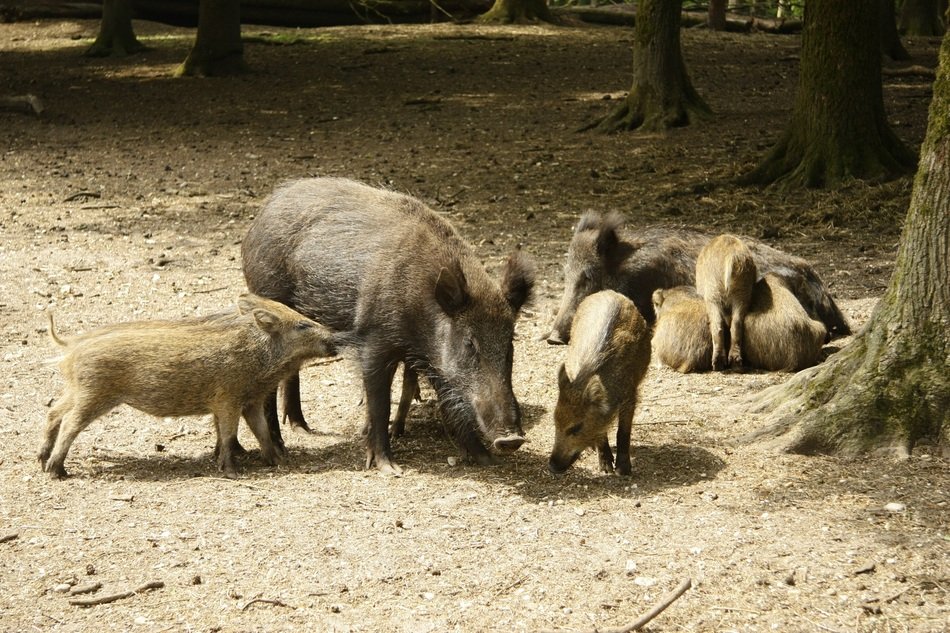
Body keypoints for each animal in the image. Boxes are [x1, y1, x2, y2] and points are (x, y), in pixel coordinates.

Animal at [40, 294, 337, 479]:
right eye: (302, 325)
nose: (336, 339)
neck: (258, 355)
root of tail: (72, 347)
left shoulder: (250, 401)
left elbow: (260, 432)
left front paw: (278, 462)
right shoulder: (227, 400)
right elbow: (229, 435)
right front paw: (232, 472)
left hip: (77, 391)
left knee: (53, 411)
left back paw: (42, 460)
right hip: (94, 394)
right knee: (69, 424)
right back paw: (57, 471)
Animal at [242, 177, 534, 474]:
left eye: (510, 343)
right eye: (470, 343)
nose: (511, 439)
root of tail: (266, 207)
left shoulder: (433, 359)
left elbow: (450, 401)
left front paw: (487, 460)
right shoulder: (373, 340)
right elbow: (379, 403)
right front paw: (390, 468)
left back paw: (302, 428)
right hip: (268, 292)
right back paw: (282, 449)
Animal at [549, 290, 651, 476]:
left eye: (576, 427)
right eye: (555, 421)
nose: (551, 466)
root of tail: (609, 292)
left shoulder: (630, 396)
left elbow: (623, 432)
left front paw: (623, 470)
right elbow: (602, 432)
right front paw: (605, 468)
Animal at [695, 234, 757, 370]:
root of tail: (730, 257)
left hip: (713, 292)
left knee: (717, 324)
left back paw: (717, 364)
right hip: (742, 293)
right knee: (737, 323)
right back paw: (735, 363)